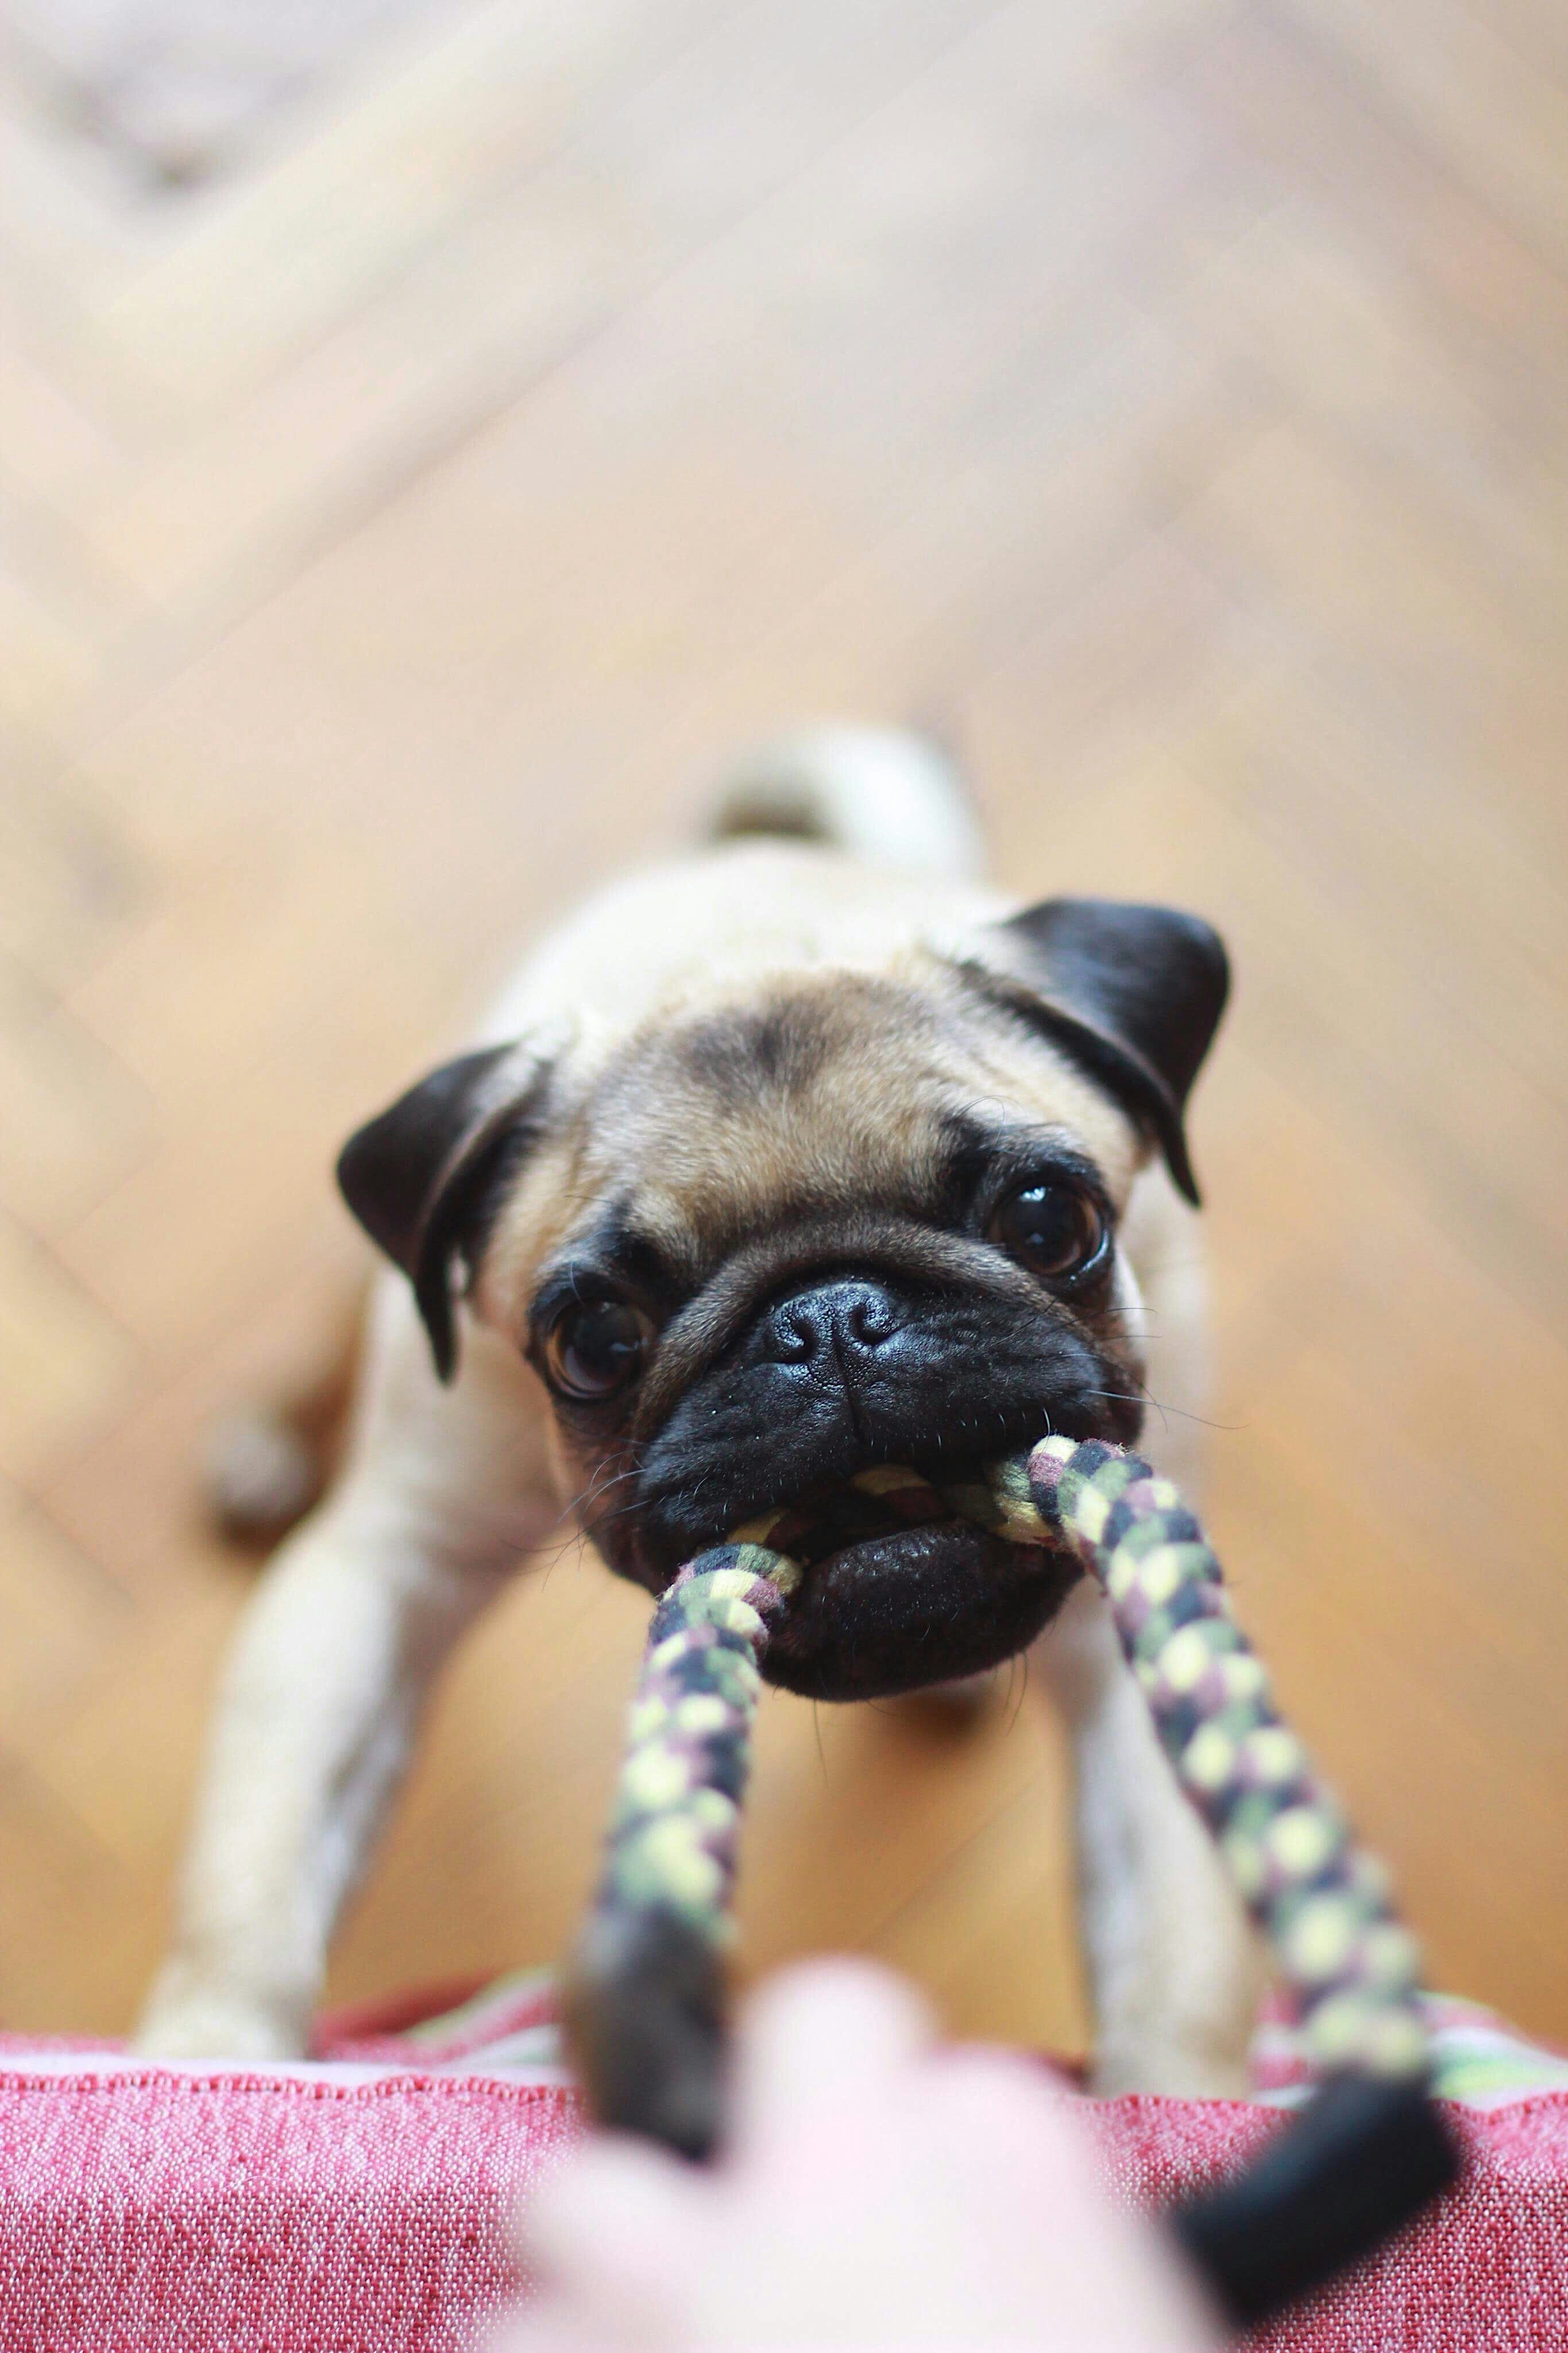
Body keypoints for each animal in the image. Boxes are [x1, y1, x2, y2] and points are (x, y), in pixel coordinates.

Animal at [138, 734, 1260, 2099]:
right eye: (595, 1343)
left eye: (1051, 1221)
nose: (831, 1321)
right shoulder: (388, 1566)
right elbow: (258, 1869)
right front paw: (206, 2053)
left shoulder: (1130, 1625)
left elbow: (1176, 1935)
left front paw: (1179, 2106)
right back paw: (270, 1439)